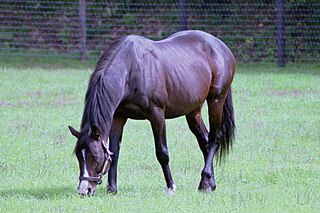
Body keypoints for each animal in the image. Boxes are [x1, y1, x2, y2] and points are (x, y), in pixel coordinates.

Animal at [69, 30, 235, 196]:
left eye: (95, 157)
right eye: (78, 156)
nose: (84, 190)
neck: (131, 70)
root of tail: (221, 46)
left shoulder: (157, 115)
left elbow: (162, 152)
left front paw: (170, 187)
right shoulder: (118, 117)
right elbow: (114, 152)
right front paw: (112, 188)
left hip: (216, 100)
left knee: (214, 139)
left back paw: (206, 181)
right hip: (193, 110)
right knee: (204, 141)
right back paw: (208, 183)